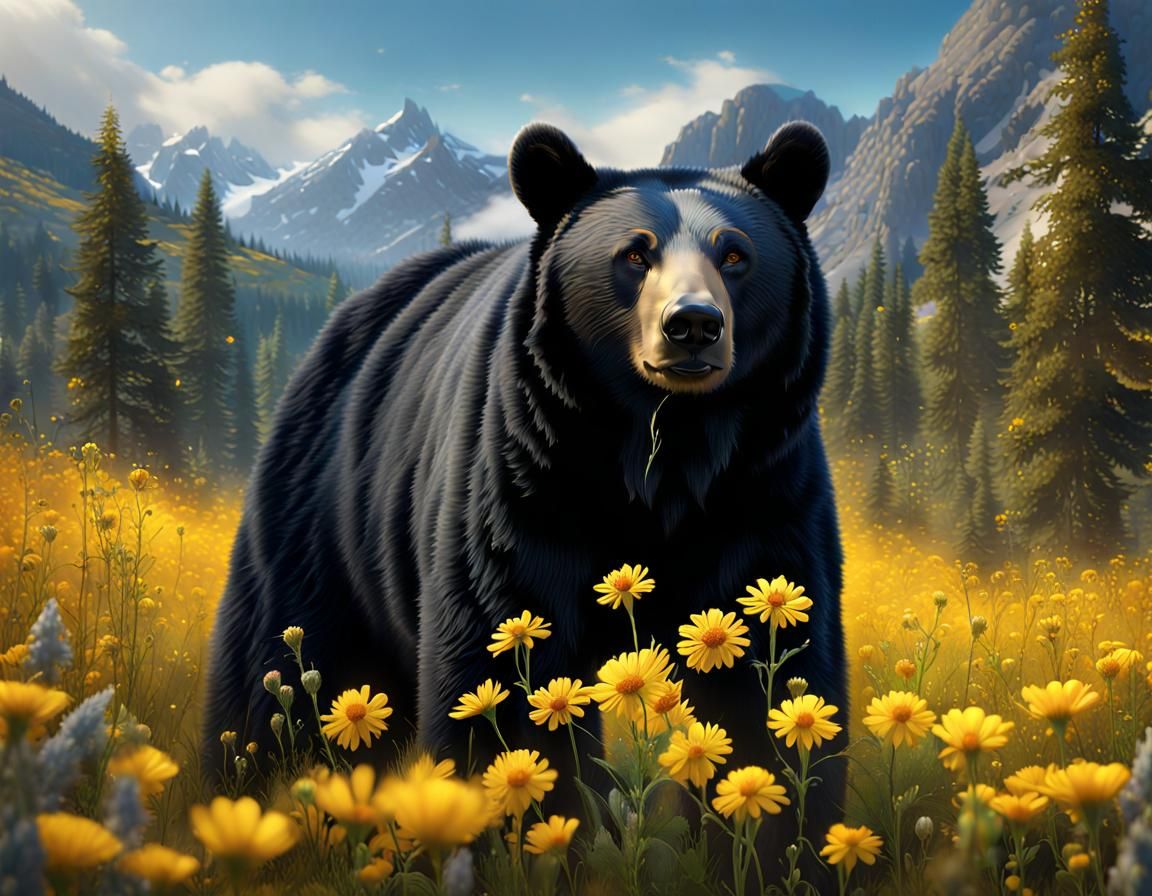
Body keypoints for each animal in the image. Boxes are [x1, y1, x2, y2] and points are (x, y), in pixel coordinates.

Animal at [203, 119, 847, 883]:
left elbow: (774, 684)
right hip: (322, 517)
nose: (692, 324)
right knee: (268, 673)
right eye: (635, 253)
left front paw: (770, 853)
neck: (662, 458)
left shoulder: (766, 491)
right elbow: (502, 672)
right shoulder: (524, 482)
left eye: (737, 254)